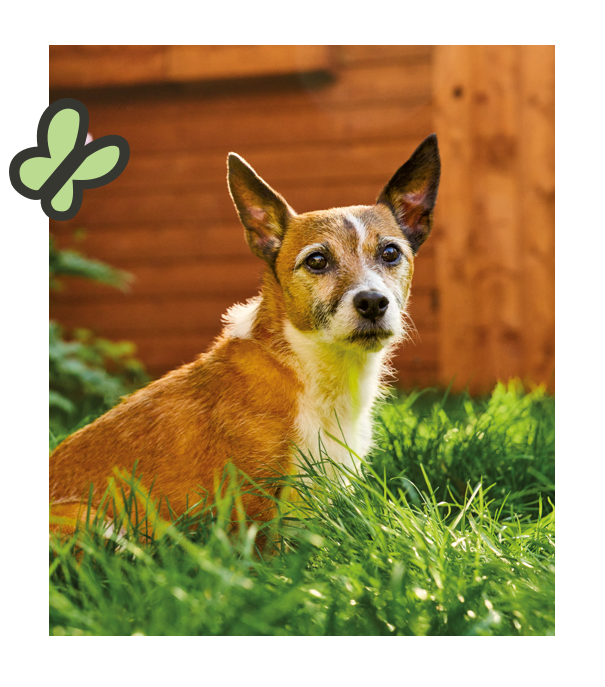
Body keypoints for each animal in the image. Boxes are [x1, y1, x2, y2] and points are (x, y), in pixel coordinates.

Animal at [48, 133, 438, 548]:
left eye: (391, 252)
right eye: (317, 261)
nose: (373, 302)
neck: (308, 369)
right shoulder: (253, 508)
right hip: (95, 523)